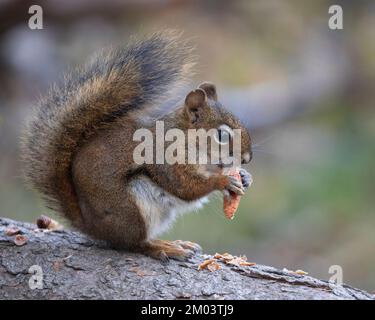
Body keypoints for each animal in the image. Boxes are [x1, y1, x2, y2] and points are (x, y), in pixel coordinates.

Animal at [22, 30, 254, 262]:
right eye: (222, 135)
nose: (247, 158)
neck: (187, 140)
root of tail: (91, 225)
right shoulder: (165, 157)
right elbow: (185, 187)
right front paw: (223, 181)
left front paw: (244, 177)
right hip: (132, 209)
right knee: (133, 243)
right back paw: (164, 247)